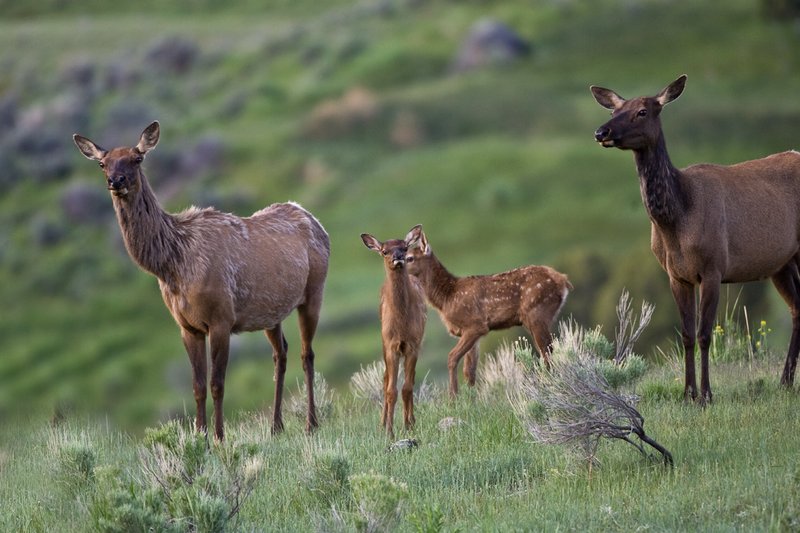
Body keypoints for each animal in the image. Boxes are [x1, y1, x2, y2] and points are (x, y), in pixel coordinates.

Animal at [72, 121, 330, 440]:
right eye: (102, 163)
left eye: (137, 158)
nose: (115, 180)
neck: (173, 266)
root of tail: (315, 220)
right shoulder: (187, 327)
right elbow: (197, 387)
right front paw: (201, 436)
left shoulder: (221, 318)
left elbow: (217, 384)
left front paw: (219, 437)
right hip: (272, 312)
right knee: (280, 354)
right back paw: (276, 426)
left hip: (314, 291)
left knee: (308, 354)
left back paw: (311, 423)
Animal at [361, 229, 427, 438]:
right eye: (384, 251)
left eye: (405, 247)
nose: (398, 257)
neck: (402, 323)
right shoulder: (391, 345)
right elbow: (391, 390)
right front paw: (389, 431)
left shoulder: (412, 344)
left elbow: (407, 388)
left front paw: (407, 426)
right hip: (384, 344)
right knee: (385, 379)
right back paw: (382, 423)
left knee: (410, 380)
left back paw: (411, 419)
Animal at [403, 225, 571, 397]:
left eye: (409, 258)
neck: (446, 298)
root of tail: (563, 280)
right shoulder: (468, 333)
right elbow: (469, 371)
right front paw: (470, 399)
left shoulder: (476, 325)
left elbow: (452, 358)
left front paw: (453, 397)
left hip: (537, 311)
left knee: (547, 352)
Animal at [591, 74, 800, 403]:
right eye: (614, 110)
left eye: (642, 111)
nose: (602, 132)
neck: (676, 222)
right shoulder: (677, 275)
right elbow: (687, 335)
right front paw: (687, 393)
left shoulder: (713, 268)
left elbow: (704, 334)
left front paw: (706, 395)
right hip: (781, 263)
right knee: (797, 308)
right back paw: (785, 382)